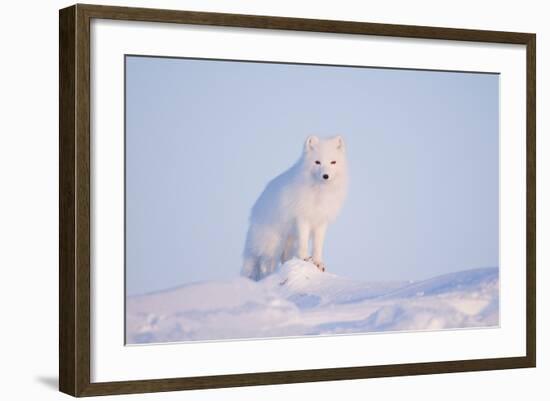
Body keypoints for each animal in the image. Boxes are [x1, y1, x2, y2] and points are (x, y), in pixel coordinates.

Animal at [243, 136, 350, 280]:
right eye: (317, 162)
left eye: (333, 162)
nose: (325, 176)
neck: (319, 194)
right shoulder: (302, 218)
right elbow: (304, 242)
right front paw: (304, 258)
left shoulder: (321, 221)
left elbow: (318, 245)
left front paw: (318, 262)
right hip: (272, 244)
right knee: (265, 264)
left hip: (288, 244)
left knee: (282, 260)